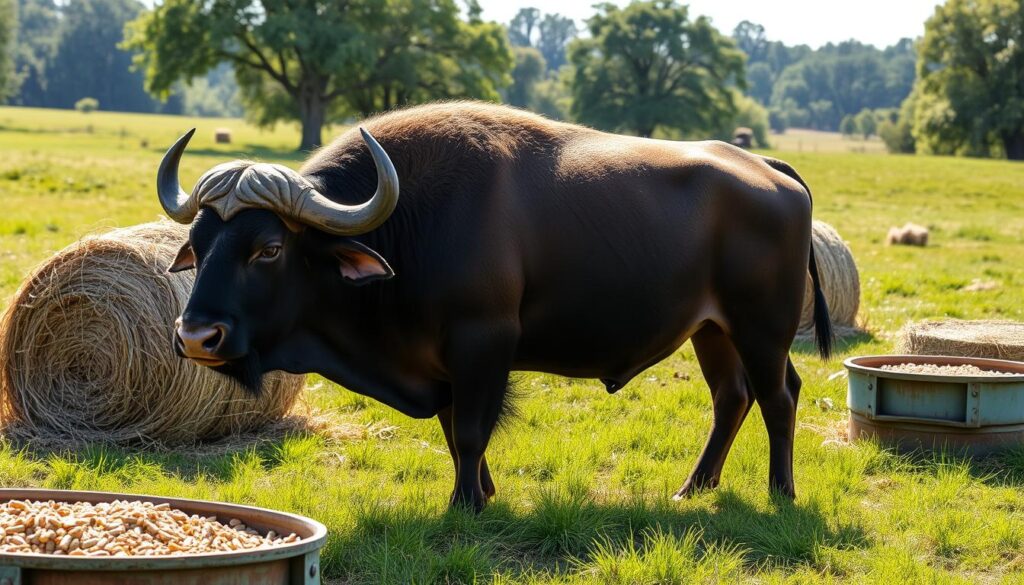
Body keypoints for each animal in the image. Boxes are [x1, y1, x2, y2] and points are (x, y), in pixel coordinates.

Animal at [159, 101, 831, 512]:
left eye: (269, 248)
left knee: (779, 397)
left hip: (762, 329)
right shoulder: (440, 365)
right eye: (199, 242)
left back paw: (782, 493)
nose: (195, 337)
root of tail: (766, 168)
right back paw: (694, 488)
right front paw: (482, 496)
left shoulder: (483, 343)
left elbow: (472, 430)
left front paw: (463, 506)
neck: (411, 224)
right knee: (731, 397)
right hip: (711, 329)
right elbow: (454, 430)